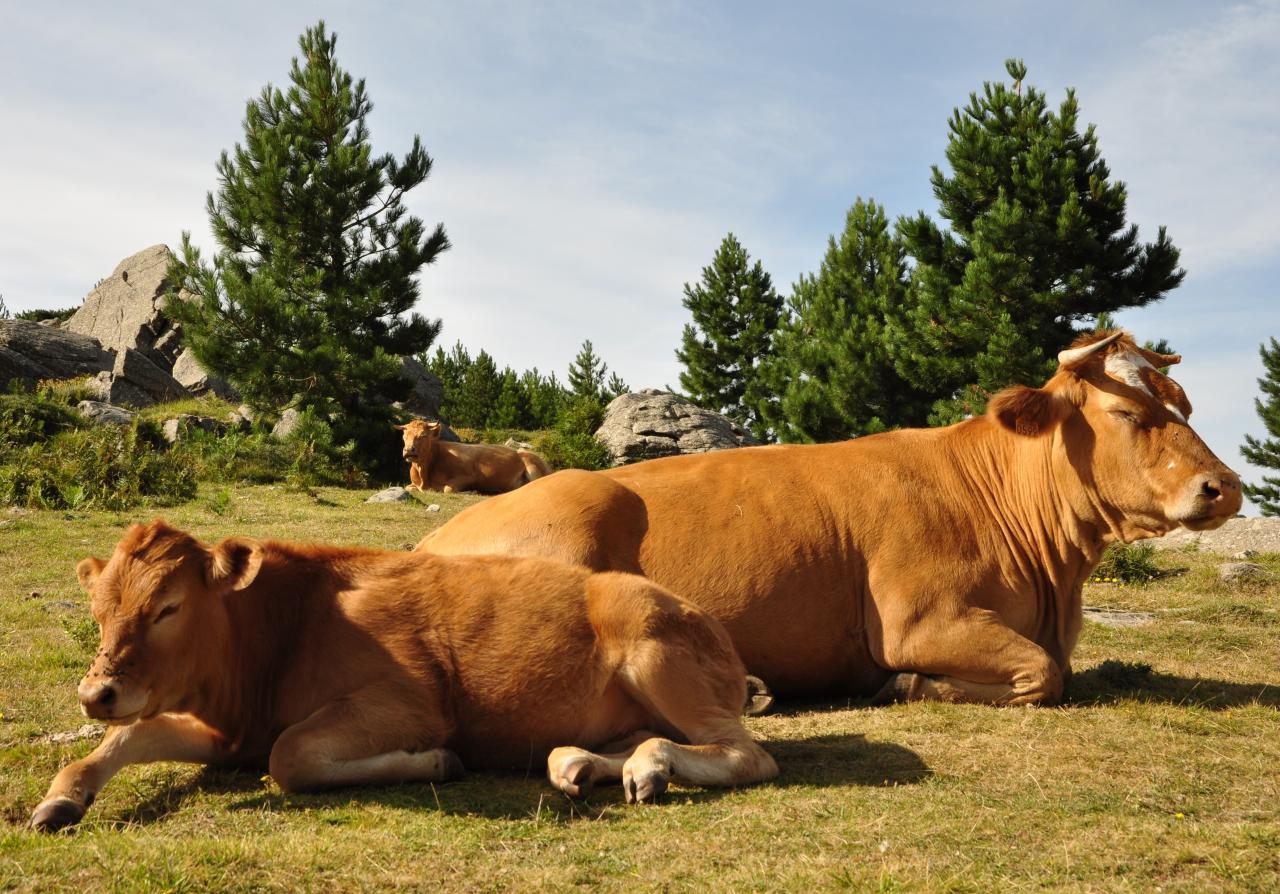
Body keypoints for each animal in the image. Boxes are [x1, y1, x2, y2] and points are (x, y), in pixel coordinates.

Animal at [30, 514, 773, 829]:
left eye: (169, 607)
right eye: (99, 609)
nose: (96, 691)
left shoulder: (410, 702)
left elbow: (290, 757)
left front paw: (436, 762)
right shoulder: (226, 733)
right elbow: (126, 737)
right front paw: (62, 799)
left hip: (652, 644)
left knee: (745, 755)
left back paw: (650, 767)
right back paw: (581, 764)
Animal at [391, 417, 547, 494]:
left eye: (423, 436)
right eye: (404, 436)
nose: (408, 450)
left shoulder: (468, 476)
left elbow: (448, 489)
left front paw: (472, 491)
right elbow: (408, 487)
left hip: (532, 467)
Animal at [419, 330, 1239, 707]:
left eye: (1184, 404)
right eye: (1127, 412)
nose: (1225, 487)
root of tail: (435, 536)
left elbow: (1056, 666)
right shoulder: (916, 619)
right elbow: (1042, 672)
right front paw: (905, 685)